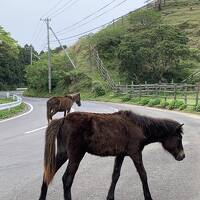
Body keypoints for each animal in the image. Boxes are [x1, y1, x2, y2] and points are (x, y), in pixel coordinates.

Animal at [38, 110, 185, 199]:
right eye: (179, 138)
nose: (182, 156)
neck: (138, 127)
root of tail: (63, 119)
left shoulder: (120, 155)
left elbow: (115, 176)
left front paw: (110, 197)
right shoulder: (135, 153)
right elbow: (143, 175)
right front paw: (148, 197)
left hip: (64, 154)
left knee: (48, 173)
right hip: (75, 155)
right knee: (67, 179)